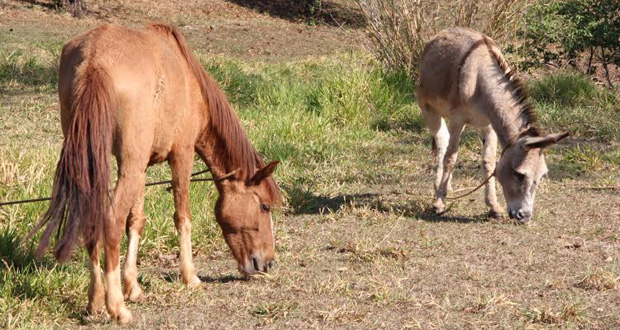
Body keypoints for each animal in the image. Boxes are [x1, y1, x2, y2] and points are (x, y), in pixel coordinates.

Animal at [29, 24, 280, 324]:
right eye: (264, 206)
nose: (267, 262)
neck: (190, 81)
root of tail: (94, 61)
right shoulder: (181, 155)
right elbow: (182, 217)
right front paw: (190, 276)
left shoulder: (141, 166)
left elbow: (136, 221)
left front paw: (133, 287)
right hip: (131, 168)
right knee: (110, 222)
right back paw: (117, 307)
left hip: (109, 165)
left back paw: (95, 301)